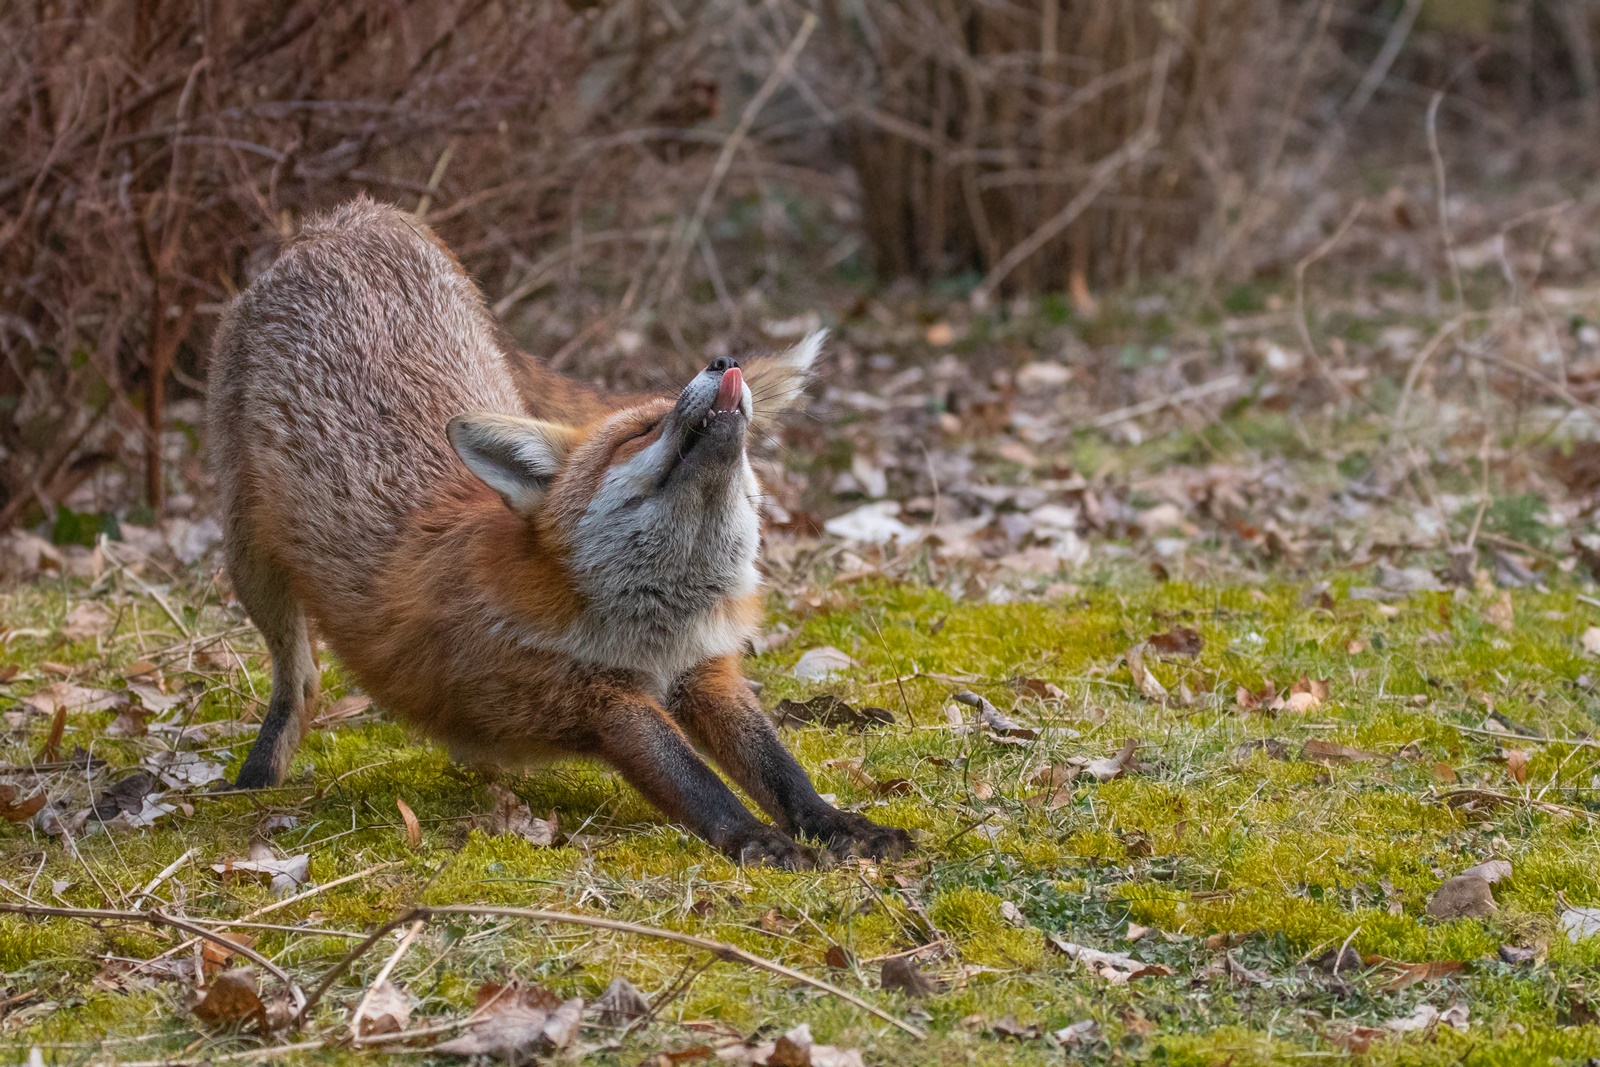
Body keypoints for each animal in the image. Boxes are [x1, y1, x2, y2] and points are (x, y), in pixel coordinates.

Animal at [209, 198, 915, 870]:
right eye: (643, 428)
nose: (724, 360)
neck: (653, 629)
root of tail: (347, 220)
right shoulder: (594, 699)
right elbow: (698, 782)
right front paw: (754, 840)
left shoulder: (706, 671)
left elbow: (780, 769)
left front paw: (838, 825)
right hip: (249, 557)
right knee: (300, 679)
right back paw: (254, 779)